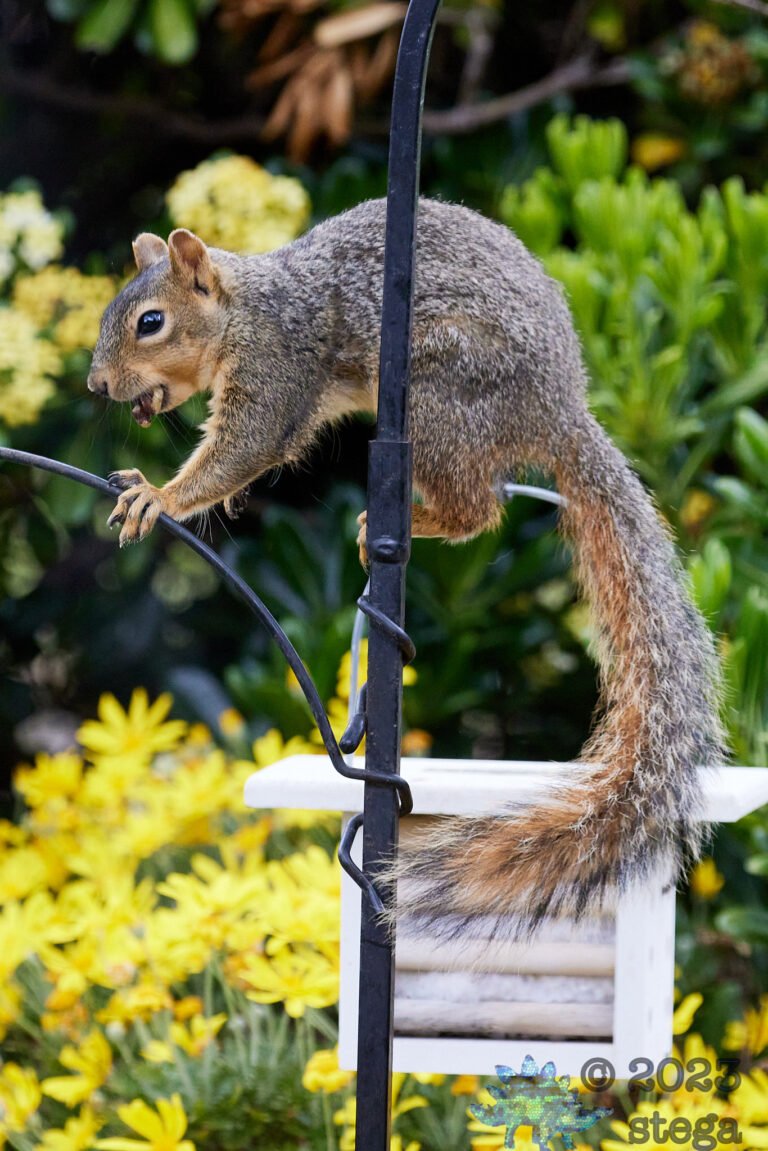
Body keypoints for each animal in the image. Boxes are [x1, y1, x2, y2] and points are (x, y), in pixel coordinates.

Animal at [88, 197, 725, 933]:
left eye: (150, 322)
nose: (96, 384)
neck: (245, 308)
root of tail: (560, 410)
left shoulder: (279, 363)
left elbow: (247, 446)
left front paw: (159, 496)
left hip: (442, 388)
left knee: (480, 509)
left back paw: (415, 522)